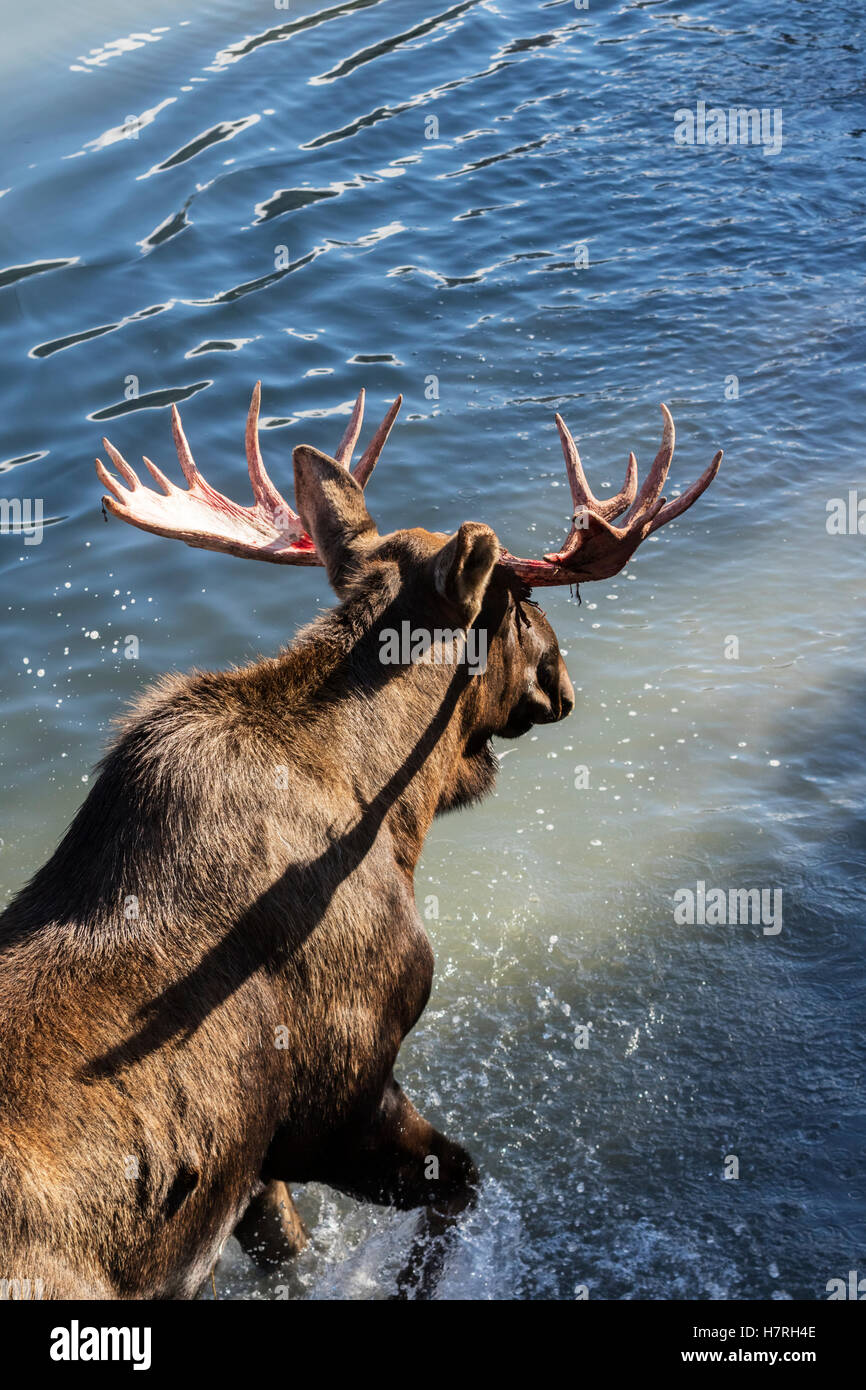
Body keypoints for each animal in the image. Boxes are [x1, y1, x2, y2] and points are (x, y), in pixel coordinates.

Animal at [0, 386, 722, 1295]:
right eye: (520, 603)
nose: (562, 680)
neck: (399, 821)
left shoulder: (254, 1161)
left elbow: (288, 1248)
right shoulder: (340, 1098)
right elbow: (459, 1184)